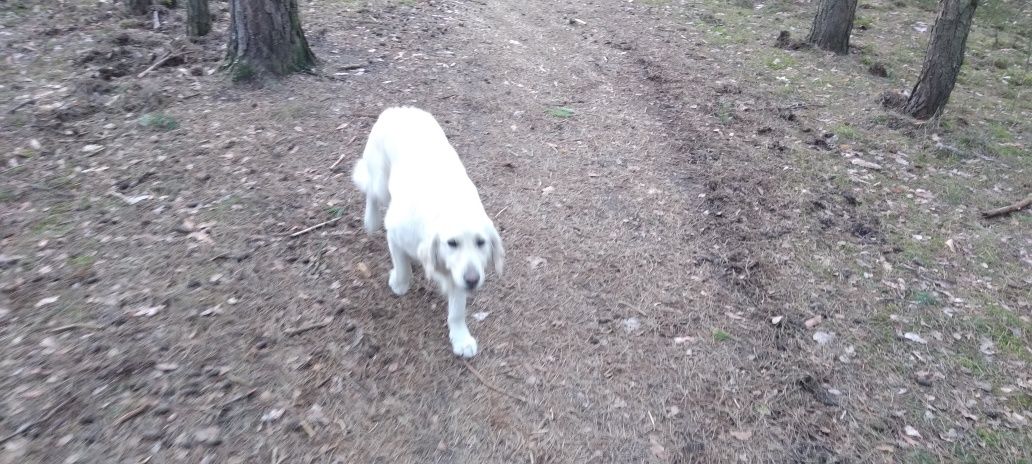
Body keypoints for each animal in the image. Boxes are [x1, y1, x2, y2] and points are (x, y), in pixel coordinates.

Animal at [350, 106, 503, 358]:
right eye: (452, 243)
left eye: (481, 242)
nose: (473, 280)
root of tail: (399, 108)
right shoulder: (395, 234)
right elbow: (402, 268)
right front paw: (399, 284)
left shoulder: (458, 273)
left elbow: (457, 311)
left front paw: (460, 339)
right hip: (380, 182)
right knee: (372, 193)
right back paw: (370, 221)